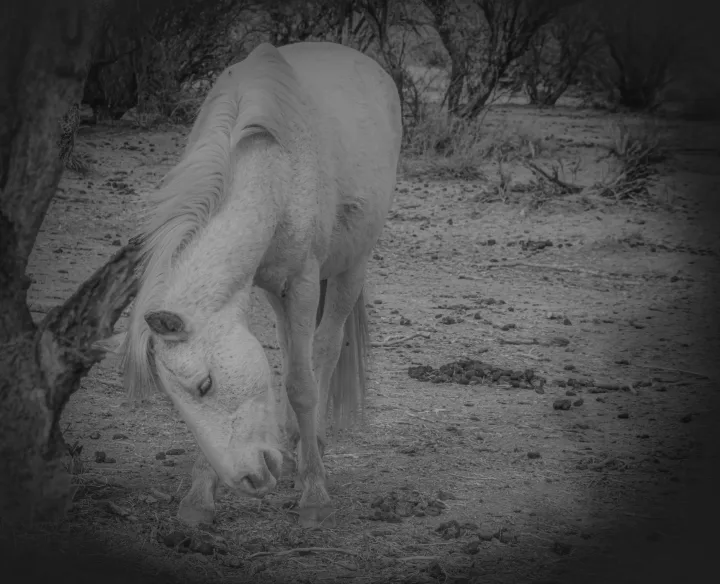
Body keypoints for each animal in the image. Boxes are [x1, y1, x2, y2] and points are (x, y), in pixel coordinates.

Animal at [97, 41, 402, 528]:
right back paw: (294, 440)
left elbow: (301, 384)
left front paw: (314, 494)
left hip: (349, 270)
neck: (275, 167)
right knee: (295, 346)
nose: (250, 480)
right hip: (278, 291)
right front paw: (200, 495)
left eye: (205, 385)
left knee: (324, 348)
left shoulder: (302, 282)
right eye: (174, 401)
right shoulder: (262, 287)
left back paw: (311, 447)